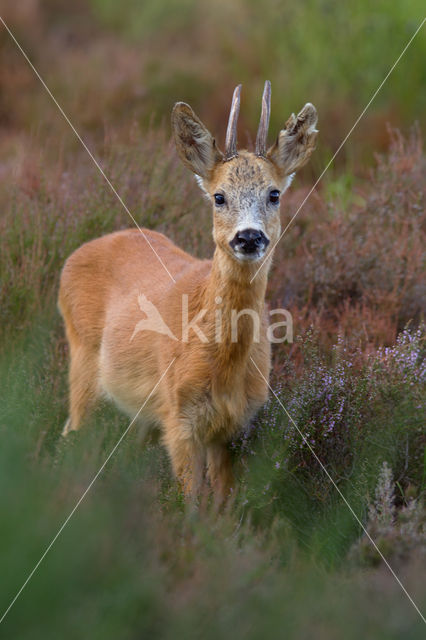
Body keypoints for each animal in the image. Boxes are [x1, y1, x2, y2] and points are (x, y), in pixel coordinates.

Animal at [60, 82, 318, 504]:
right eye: (219, 196)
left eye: (275, 194)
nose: (249, 236)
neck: (223, 365)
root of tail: (77, 253)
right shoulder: (179, 419)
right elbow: (192, 503)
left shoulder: (234, 429)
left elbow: (224, 503)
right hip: (82, 361)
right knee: (71, 432)